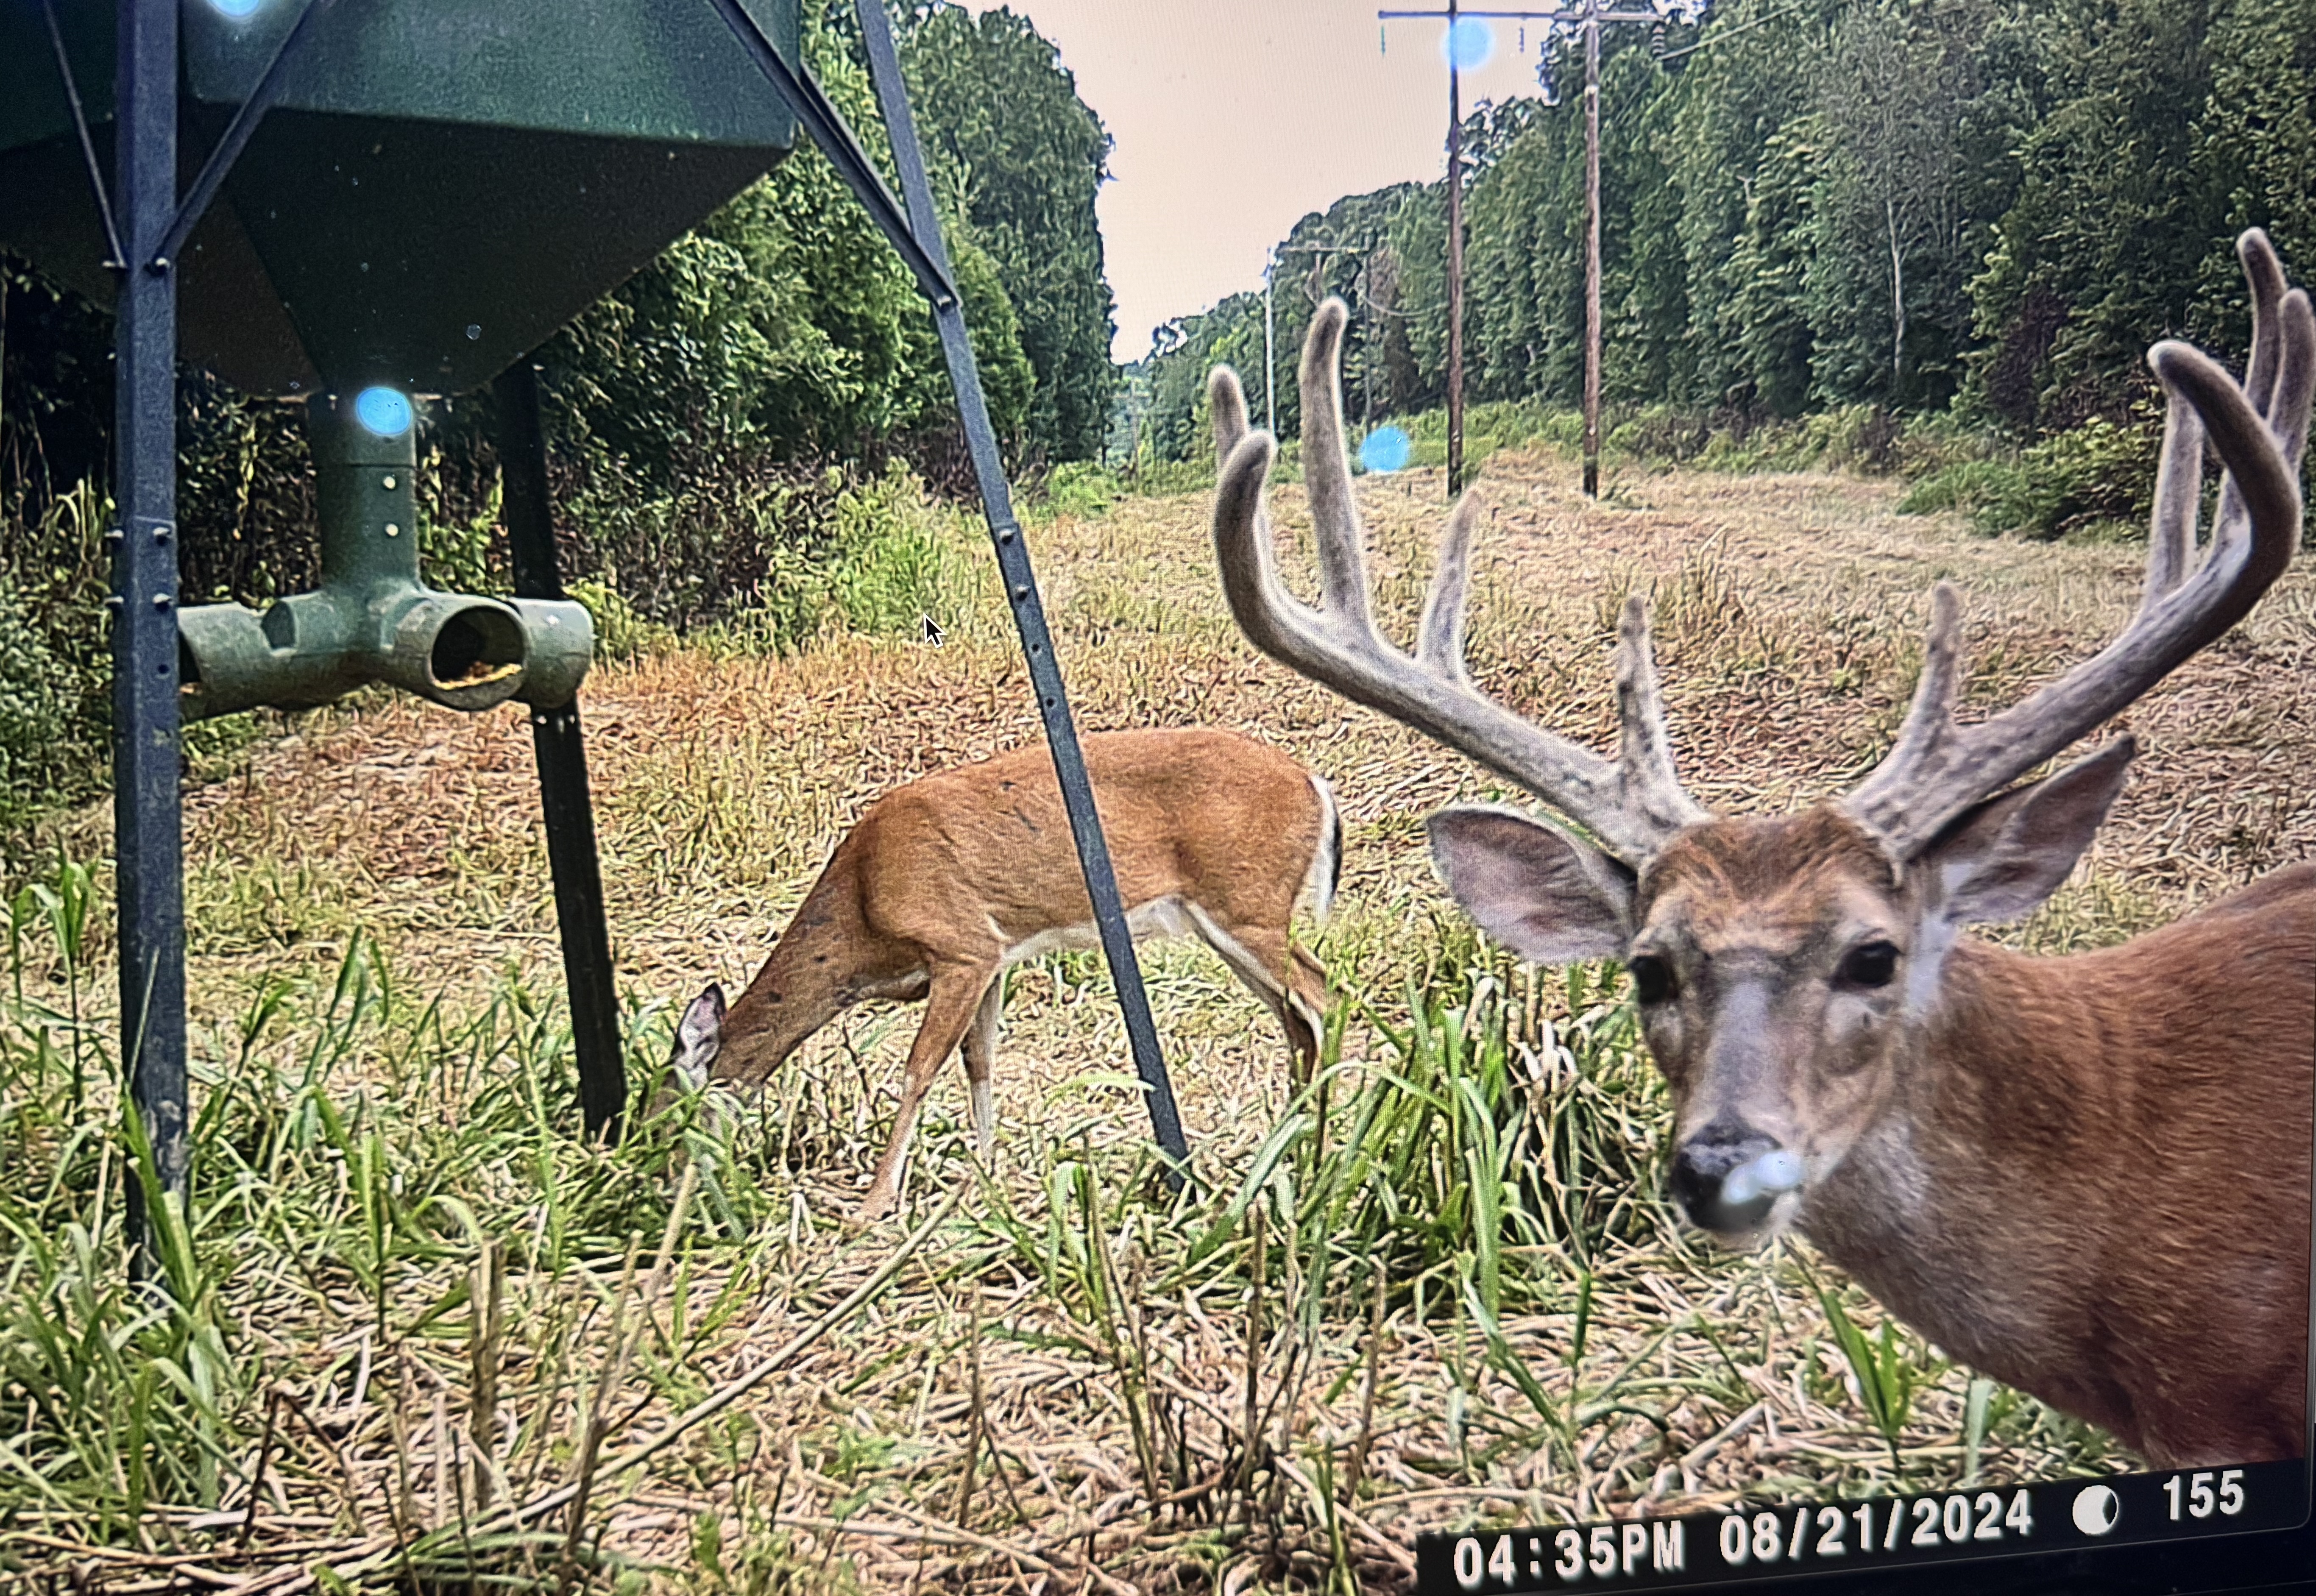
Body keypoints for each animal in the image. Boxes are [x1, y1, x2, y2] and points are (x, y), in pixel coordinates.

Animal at [663, 727, 1339, 1218]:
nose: (657, 1176)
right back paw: (1287, 1139)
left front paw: (875, 1204)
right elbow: (979, 1061)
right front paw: (984, 1177)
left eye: (663, 1107)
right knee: (1296, 1019)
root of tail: (1315, 786)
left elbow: (920, 1070)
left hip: (1246, 905)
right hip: (1230, 922)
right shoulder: (993, 957)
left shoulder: (960, 947)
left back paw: (1319, 1146)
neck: (863, 908)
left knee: (1323, 997)